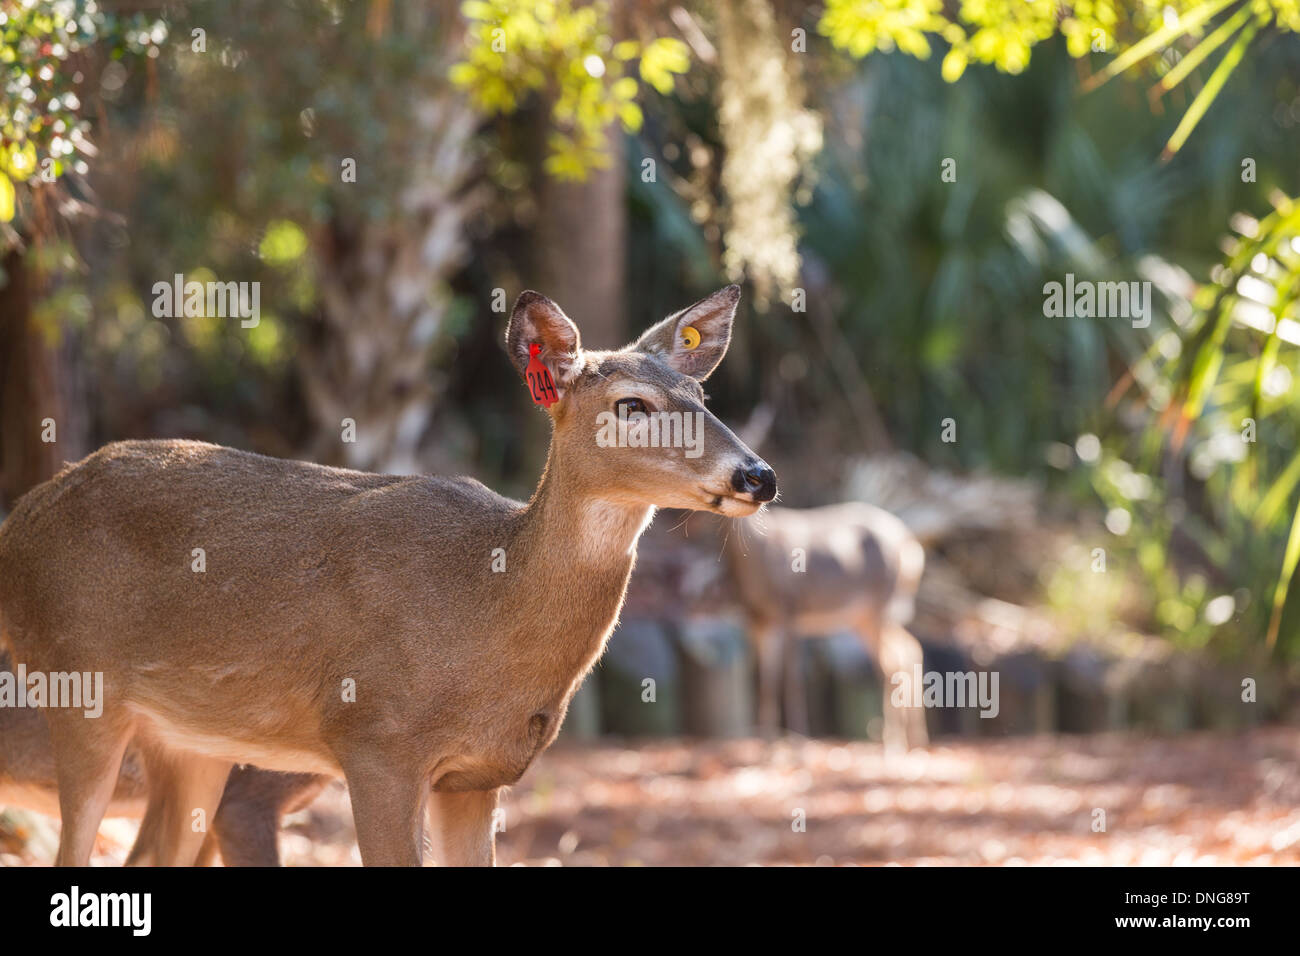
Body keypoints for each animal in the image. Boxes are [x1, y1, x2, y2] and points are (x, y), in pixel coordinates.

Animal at [0, 286, 769, 868]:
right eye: (631, 405)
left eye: (702, 397)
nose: (757, 475)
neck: (485, 605)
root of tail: (19, 523)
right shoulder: (376, 741)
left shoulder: (476, 776)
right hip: (78, 684)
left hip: (191, 743)